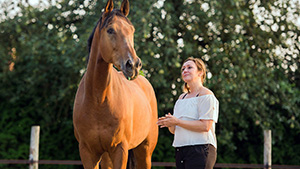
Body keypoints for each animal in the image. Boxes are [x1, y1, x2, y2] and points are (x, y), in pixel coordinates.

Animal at [72, 0, 158, 169]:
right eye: (110, 30)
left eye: (132, 30)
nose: (134, 65)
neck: (98, 99)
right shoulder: (88, 153)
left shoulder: (120, 150)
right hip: (107, 156)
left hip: (145, 151)